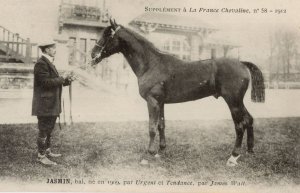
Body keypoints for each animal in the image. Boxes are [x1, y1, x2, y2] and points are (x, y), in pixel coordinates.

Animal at [89, 20, 264, 167]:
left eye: (107, 35)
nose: (92, 54)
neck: (151, 64)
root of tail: (241, 63)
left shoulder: (152, 101)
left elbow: (152, 128)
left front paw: (148, 155)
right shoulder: (160, 102)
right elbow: (161, 125)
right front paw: (160, 151)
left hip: (233, 102)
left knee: (240, 125)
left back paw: (233, 157)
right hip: (239, 102)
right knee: (249, 120)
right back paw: (249, 151)